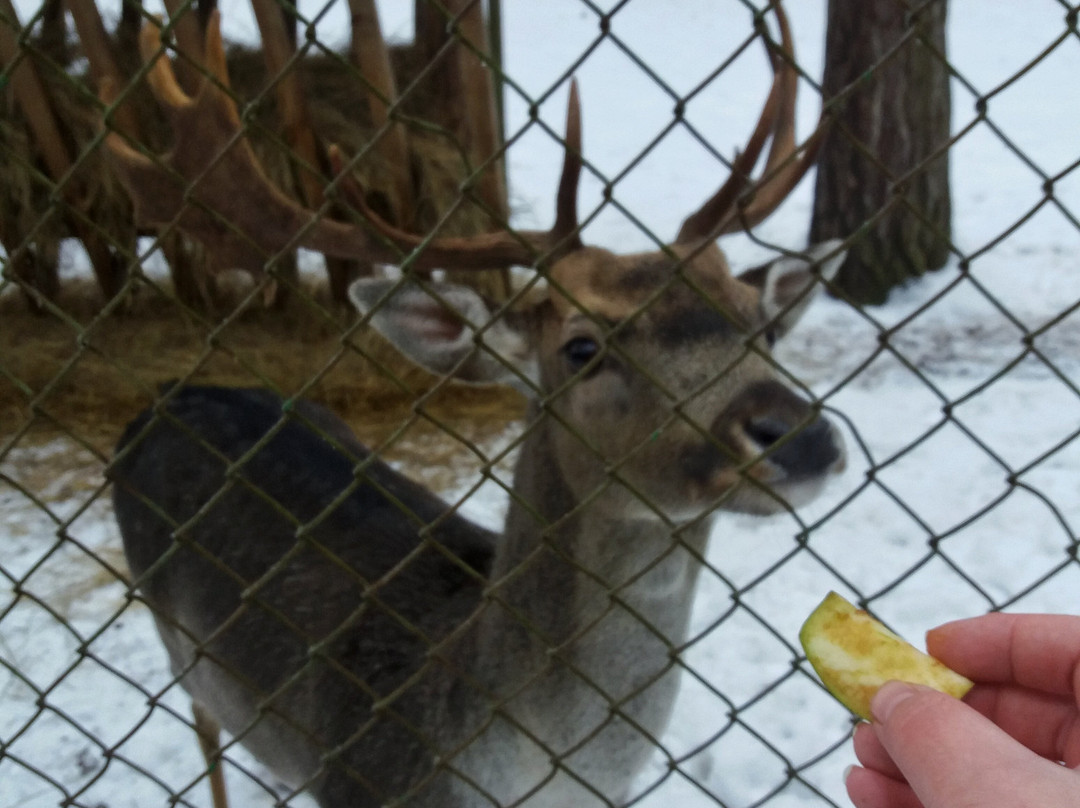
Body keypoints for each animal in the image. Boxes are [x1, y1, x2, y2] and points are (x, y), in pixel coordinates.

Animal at [111, 6, 851, 808]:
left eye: (762, 322)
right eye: (582, 347)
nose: (802, 437)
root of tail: (165, 396)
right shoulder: (355, 778)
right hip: (172, 635)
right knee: (203, 721)